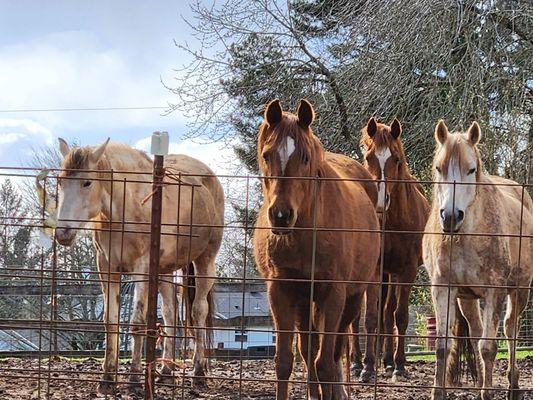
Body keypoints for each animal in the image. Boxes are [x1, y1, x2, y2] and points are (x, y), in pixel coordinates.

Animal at [55, 140, 224, 394]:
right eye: (60, 181)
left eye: (87, 182)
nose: (63, 232)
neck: (125, 208)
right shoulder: (107, 268)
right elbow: (111, 322)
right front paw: (107, 379)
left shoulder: (141, 269)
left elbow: (137, 323)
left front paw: (134, 379)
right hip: (164, 270)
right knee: (171, 314)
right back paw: (166, 372)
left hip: (205, 261)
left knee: (199, 312)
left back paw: (199, 373)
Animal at [255, 97, 382, 400]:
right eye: (266, 155)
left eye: (304, 157)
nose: (281, 216)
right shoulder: (281, 291)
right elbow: (285, 362)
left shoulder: (333, 293)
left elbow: (325, 362)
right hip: (304, 302)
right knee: (309, 349)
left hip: (352, 297)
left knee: (334, 351)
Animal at [422, 119, 528, 400]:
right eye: (439, 167)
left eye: (471, 169)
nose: (450, 217)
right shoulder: (443, 289)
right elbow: (443, 346)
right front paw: (439, 392)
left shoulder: (495, 290)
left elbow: (489, 348)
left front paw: (488, 392)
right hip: (467, 298)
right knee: (476, 333)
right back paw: (482, 380)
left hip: (520, 290)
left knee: (510, 330)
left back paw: (512, 386)